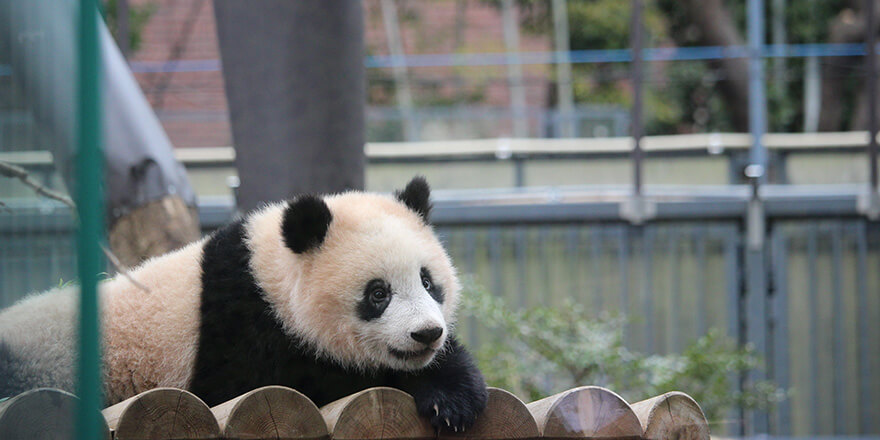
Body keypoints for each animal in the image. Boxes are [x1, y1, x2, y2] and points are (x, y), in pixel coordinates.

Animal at [0, 177, 488, 432]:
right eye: (378, 293)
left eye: (428, 282)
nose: (426, 333)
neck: (265, 272)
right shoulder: (237, 329)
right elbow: (298, 380)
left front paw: (452, 398)